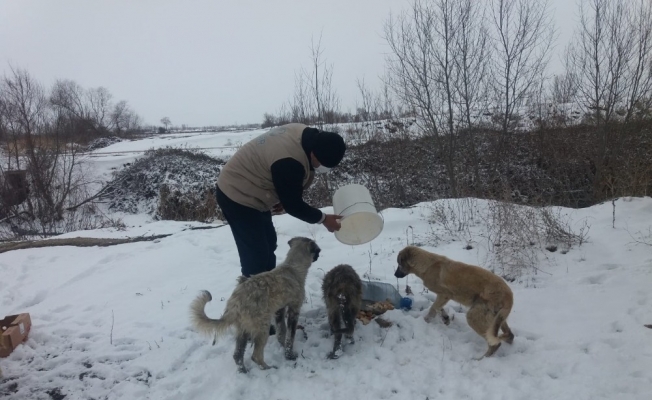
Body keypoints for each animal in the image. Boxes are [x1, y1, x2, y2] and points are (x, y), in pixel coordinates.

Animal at [188, 238, 320, 372]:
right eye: (317, 250)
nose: (319, 255)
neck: (293, 267)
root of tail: (234, 304)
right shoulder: (294, 309)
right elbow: (290, 336)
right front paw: (290, 354)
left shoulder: (279, 310)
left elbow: (281, 331)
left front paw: (282, 345)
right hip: (262, 327)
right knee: (255, 356)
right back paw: (268, 368)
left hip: (243, 329)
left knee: (237, 355)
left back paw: (243, 371)